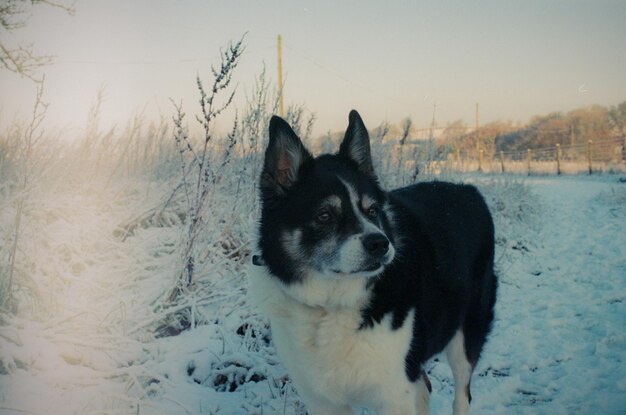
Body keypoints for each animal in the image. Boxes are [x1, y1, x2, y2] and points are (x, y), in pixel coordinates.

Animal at [246, 111, 494, 415]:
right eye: (325, 216)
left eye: (373, 210)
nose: (380, 244)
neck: (330, 305)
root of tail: (470, 190)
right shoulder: (321, 399)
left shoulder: (394, 392)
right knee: (425, 386)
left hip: (466, 335)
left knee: (462, 394)